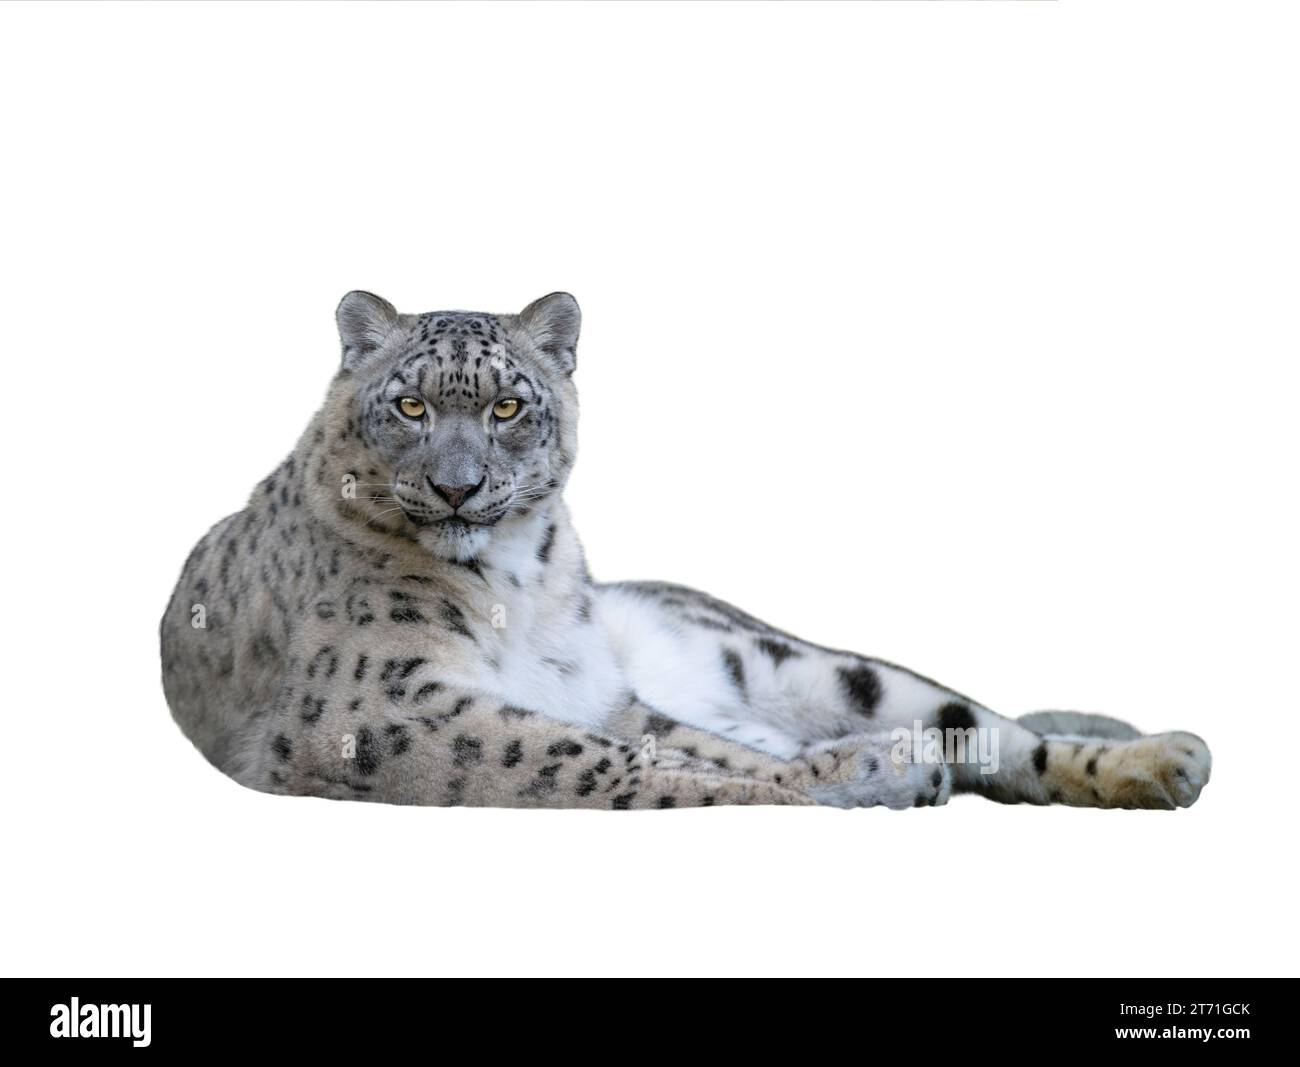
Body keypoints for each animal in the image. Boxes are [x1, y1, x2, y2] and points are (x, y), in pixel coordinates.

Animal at [160, 291, 1212, 810]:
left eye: (507, 406)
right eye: (411, 405)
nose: (459, 487)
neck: (521, 583)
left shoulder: (601, 697)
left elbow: (650, 746)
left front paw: (865, 767)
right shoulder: (380, 708)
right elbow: (600, 761)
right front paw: (863, 774)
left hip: (803, 660)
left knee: (993, 727)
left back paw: (1161, 761)